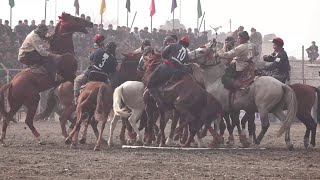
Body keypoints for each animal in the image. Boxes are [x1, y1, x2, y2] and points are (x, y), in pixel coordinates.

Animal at [0, 12, 93, 146]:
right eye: (75, 18)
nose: (90, 23)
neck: (62, 52)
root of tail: (11, 83)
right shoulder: (70, 75)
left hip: (17, 103)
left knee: (7, 118)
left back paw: (3, 140)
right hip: (32, 101)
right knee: (27, 120)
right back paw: (42, 139)